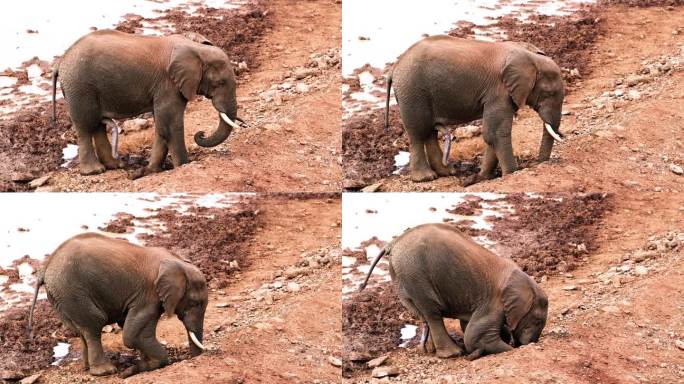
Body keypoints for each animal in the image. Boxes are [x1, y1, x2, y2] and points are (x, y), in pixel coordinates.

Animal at [28, 232, 208, 376]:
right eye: (195, 303)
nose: (195, 357)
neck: (176, 261)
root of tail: (44, 268)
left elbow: (131, 328)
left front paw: (141, 364)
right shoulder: (148, 295)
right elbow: (132, 335)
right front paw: (143, 367)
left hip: (60, 296)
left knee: (82, 330)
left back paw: (87, 368)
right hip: (71, 291)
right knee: (93, 325)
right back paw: (105, 372)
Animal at [53, 29, 246, 177]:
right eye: (219, 83)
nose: (201, 134)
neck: (197, 50)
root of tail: (62, 60)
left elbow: (161, 125)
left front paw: (152, 170)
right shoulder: (169, 84)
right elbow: (171, 124)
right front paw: (183, 165)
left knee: (97, 126)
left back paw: (115, 166)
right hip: (79, 87)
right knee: (86, 127)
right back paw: (95, 171)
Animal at [360, 222, 548, 360]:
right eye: (538, 321)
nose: (528, 344)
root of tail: (393, 243)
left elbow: (468, 326)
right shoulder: (494, 301)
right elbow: (475, 335)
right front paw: (507, 348)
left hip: (402, 276)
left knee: (423, 314)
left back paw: (431, 350)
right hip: (414, 273)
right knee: (432, 313)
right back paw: (453, 353)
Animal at [384, 36, 568, 184]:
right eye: (549, 94)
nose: (538, 163)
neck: (531, 59)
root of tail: (395, 67)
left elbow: (491, 133)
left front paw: (483, 177)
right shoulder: (499, 91)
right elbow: (495, 132)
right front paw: (512, 173)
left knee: (429, 132)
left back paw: (447, 172)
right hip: (412, 92)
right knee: (418, 133)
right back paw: (425, 178)